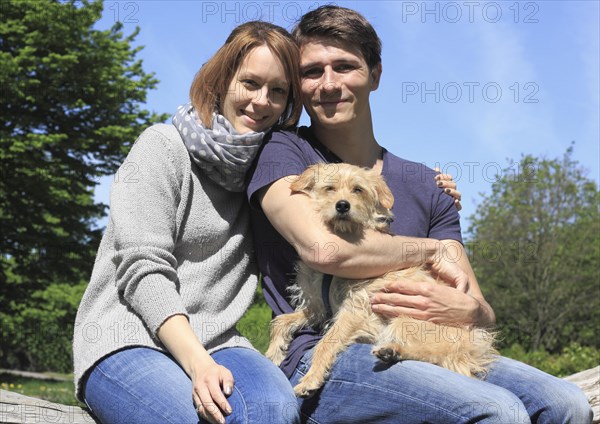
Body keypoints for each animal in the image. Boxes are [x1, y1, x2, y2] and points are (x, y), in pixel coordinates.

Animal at [268, 161, 496, 398]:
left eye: (358, 190)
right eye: (329, 188)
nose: (343, 205)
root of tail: (473, 345)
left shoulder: (355, 309)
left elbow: (326, 343)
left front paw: (310, 379)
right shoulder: (318, 307)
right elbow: (281, 321)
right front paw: (273, 353)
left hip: (405, 322)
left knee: (438, 356)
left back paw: (394, 350)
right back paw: (392, 351)